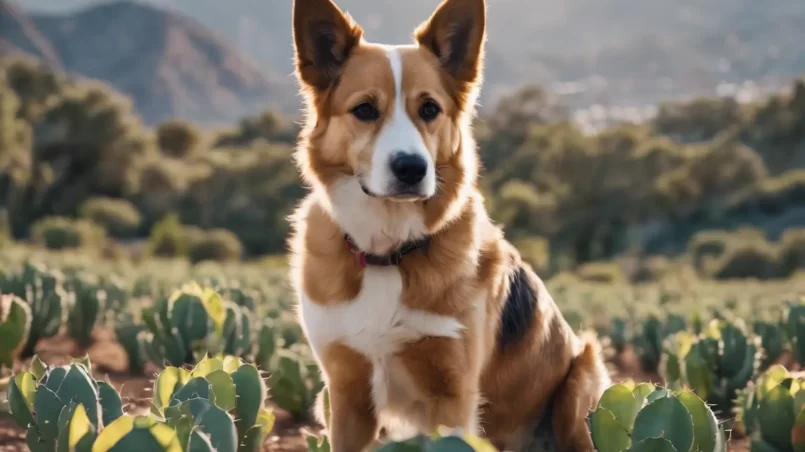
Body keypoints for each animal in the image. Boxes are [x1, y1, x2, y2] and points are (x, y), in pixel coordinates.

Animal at [286, 0, 608, 450]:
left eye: (430, 109)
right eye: (365, 110)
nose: (411, 168)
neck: (390, 252)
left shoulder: (453, 393)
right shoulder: (347, 394)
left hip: (582, 380)